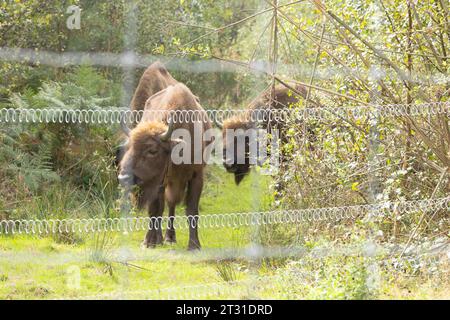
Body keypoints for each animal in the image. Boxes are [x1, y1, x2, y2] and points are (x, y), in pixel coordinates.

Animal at [118, 83, 212, 250]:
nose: (123, 177)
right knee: (163, 206)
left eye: (152, 150)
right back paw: (161, 239)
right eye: (128, 147)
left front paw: (194, 245)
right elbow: (154, 209)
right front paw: (148, 242)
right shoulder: (158, 181)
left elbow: (192, 210)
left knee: (171, 204)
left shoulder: (197, 175)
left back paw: (169, 237)